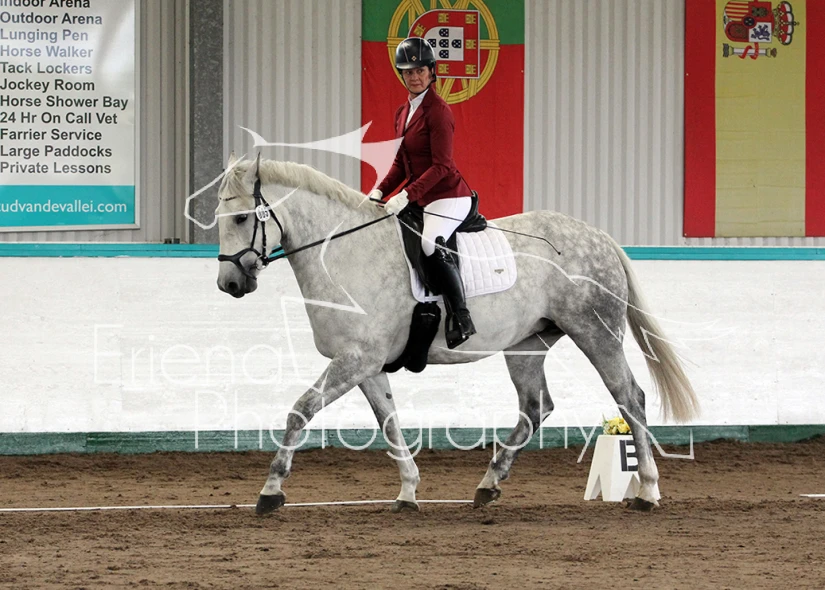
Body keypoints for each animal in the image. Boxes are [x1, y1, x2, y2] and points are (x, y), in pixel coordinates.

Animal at [214, 154, 699, 515]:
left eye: (240, 218)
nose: (229, 284)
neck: (345, 252)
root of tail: (599, 235)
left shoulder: (356, 358)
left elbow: (301, 410)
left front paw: (271, 491)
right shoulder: (366, 364)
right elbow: (389, 422)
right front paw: (408, 492)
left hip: (595, 331)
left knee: (629, 396)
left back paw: (647, 492)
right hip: (526, 344)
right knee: (535, 408)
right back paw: (488, 485)